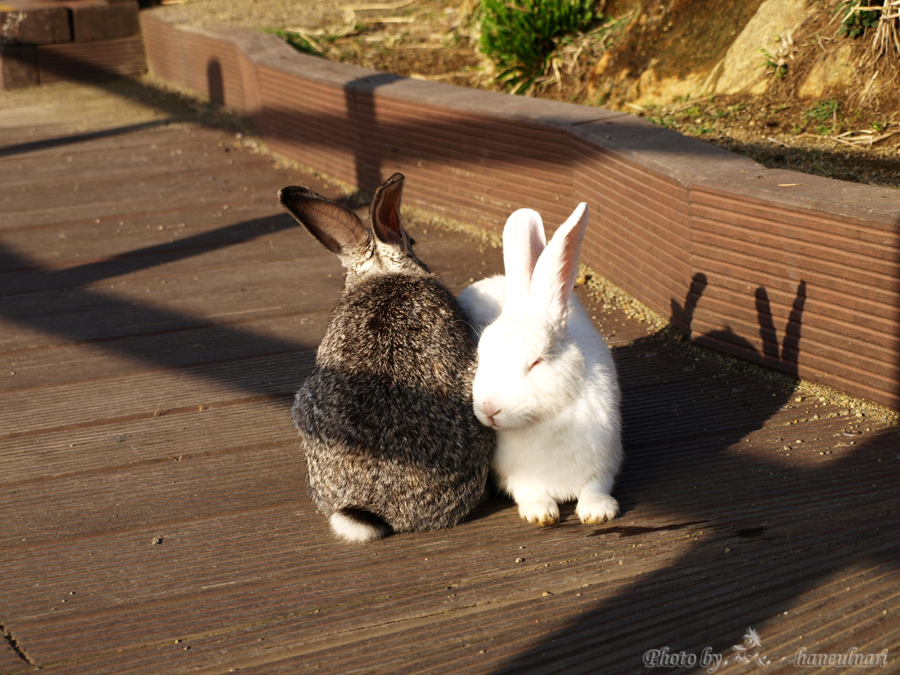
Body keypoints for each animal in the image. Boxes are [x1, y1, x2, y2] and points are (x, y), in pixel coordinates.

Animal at [460, 206, 624, 528]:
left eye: (536, 362)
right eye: (481, 355)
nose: (488, 408)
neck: (545, 420)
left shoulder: (604, 461)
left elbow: (596, 487)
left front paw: (598, 512)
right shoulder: (514, 475)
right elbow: (529, 491)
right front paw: (541, 513)